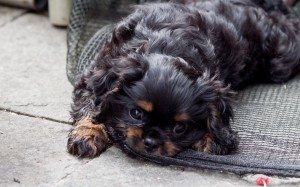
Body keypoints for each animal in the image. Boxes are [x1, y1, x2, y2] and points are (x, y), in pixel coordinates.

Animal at [67, 0, 300, 158]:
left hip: (280, 56)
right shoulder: (94, 76)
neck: (165, 45)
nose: (151, 142)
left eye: (180, 128)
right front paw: (87, 134)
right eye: (136, 114)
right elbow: (91, 108)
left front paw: (212, 137)